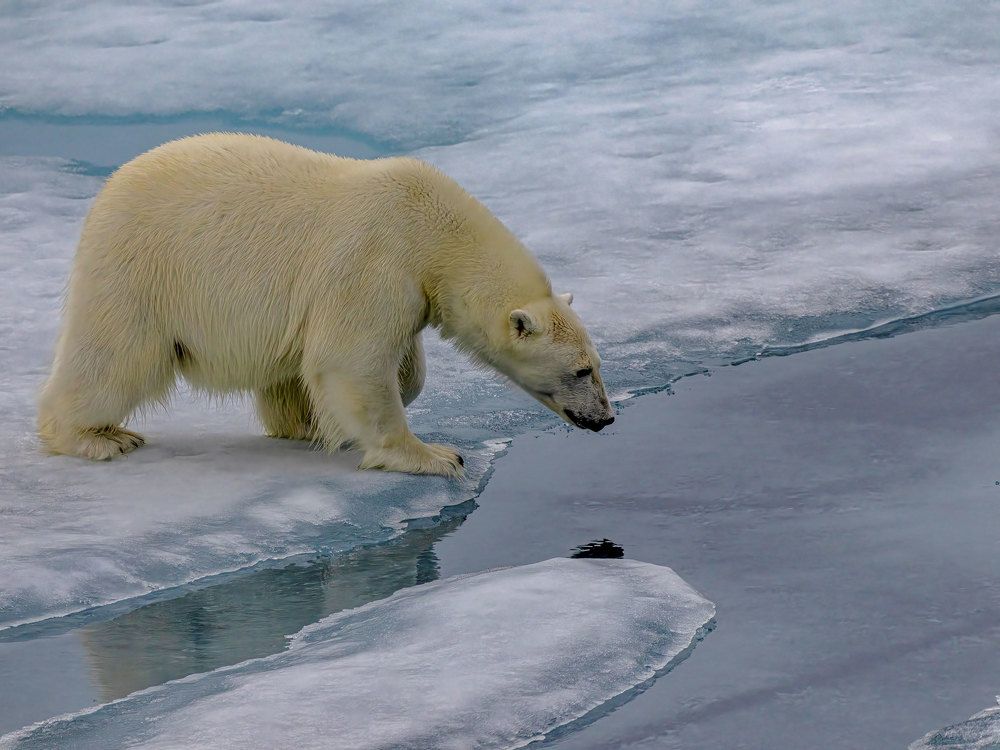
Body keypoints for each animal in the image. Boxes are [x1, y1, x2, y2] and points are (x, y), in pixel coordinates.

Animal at [37, 133, 615, 476]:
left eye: (596, 363)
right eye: (582, 371)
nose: (606, 418)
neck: (431, 229)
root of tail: (109, 190)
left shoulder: (409, 286)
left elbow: (396, 366)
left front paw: (327, 418)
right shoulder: (375, 260)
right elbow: (350, 360)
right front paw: (434, 455)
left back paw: (295, 420)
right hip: (140, 269)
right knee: (116, 358)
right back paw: (97, 438)